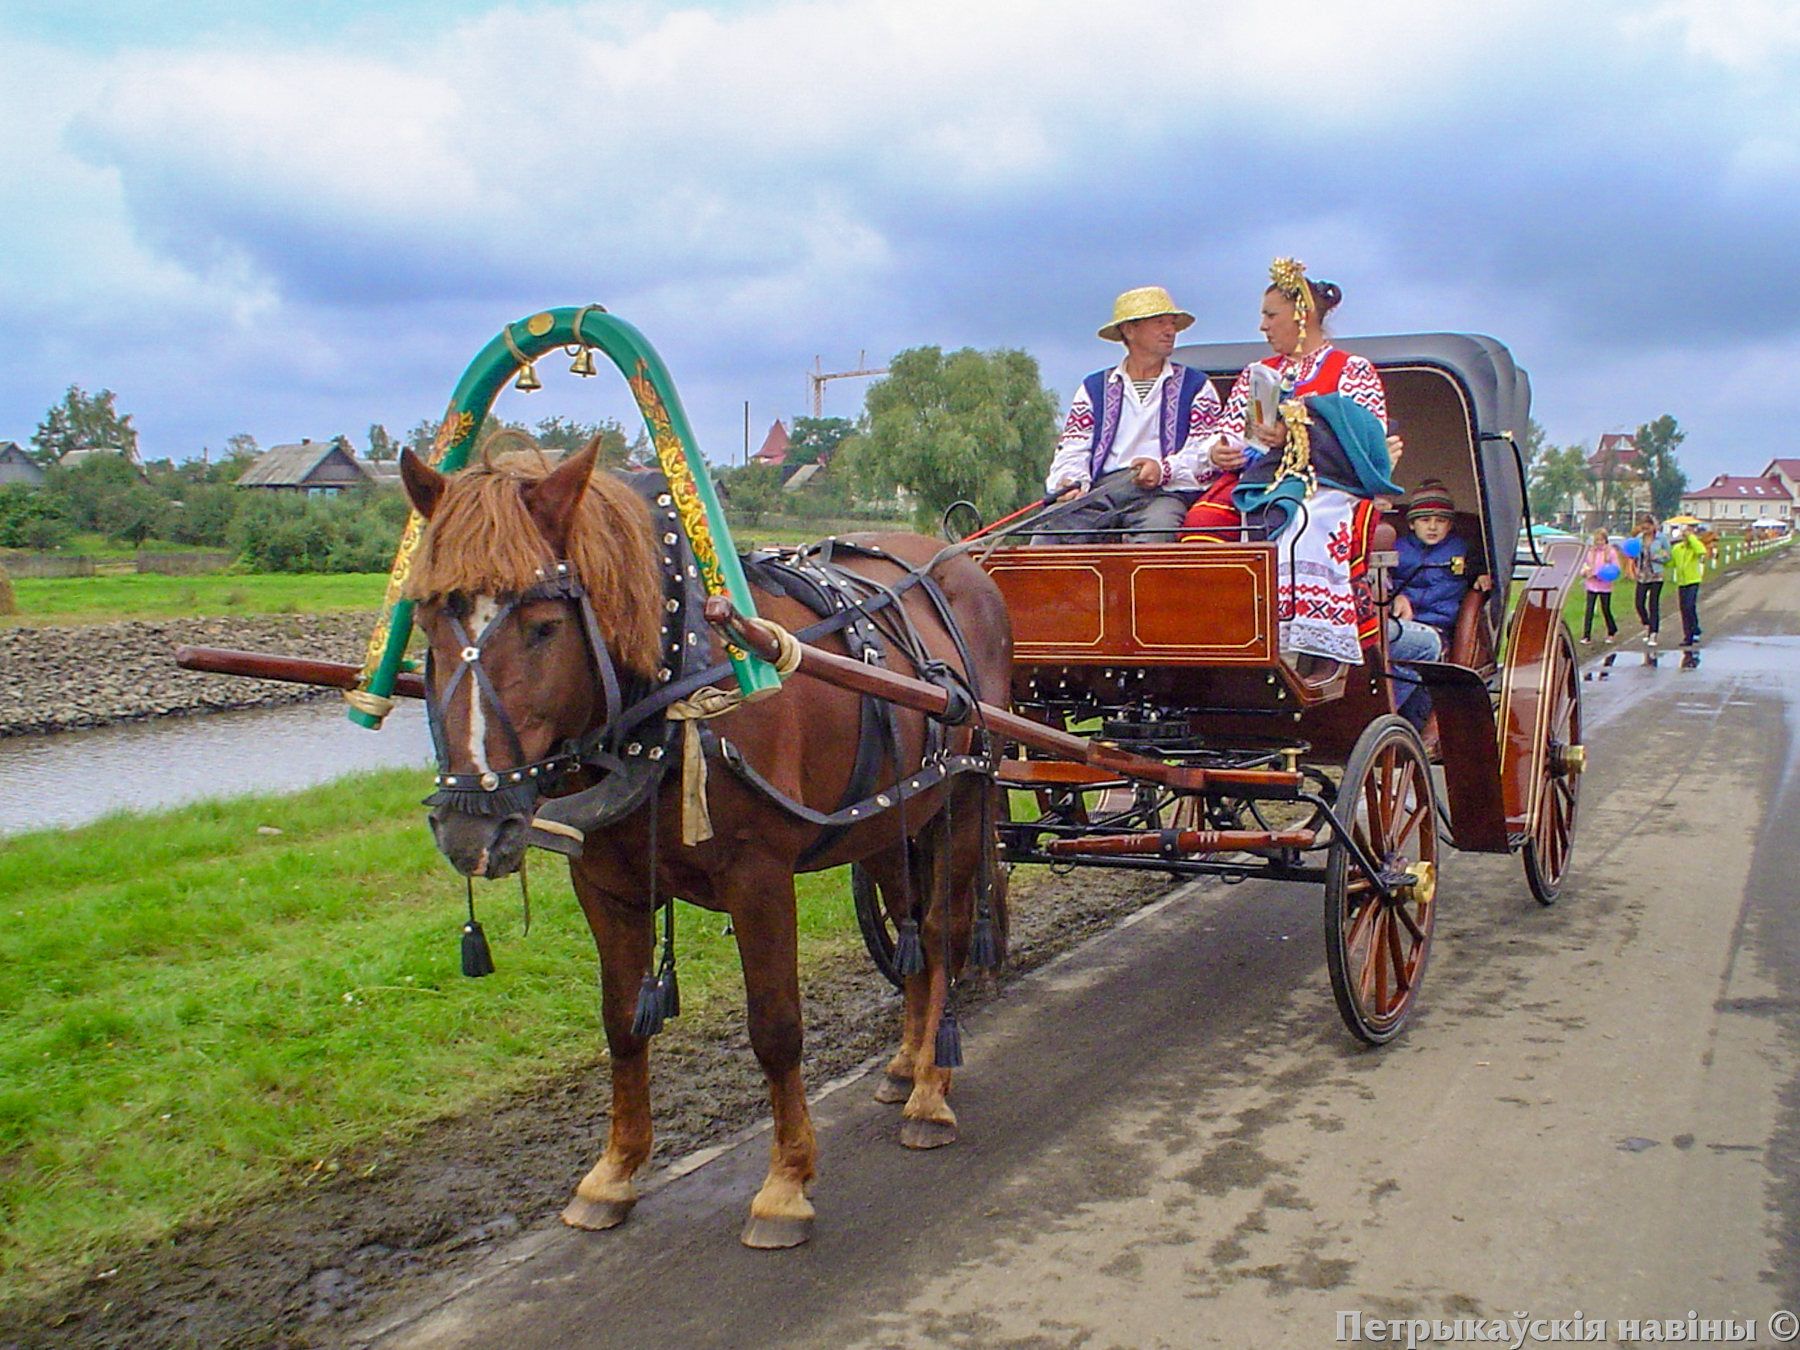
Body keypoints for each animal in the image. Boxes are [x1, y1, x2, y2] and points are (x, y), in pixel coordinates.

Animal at [397, 439, 1015, 1252]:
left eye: (544, 626)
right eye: (427, 616)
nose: (472, 825)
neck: (675, 685)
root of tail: (956, 558)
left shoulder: (760, 877)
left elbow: (776, 1028)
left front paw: (785, 1183)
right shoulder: (604, 884)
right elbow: (620, 1023)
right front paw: (614, 1171)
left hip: (965, 792)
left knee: (944, 929)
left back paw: (931, 1095)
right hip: (890, 814)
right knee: (910, 925)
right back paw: (906, 1063)